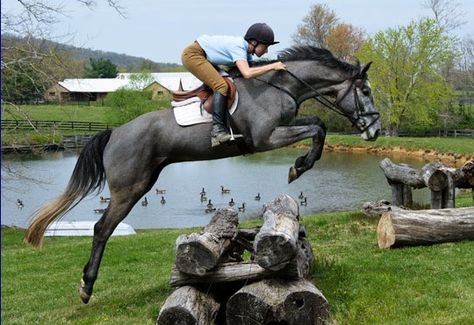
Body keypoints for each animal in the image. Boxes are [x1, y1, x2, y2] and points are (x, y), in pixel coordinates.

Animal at [25, 45, 382, 302]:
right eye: (365, 92)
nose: (375, 131)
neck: (280, 86)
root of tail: (114, 133)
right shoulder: (265, 139)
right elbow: (317, 129)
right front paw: (299, 167)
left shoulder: (282, 128)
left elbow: (318, 125)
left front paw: (299, 165)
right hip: (129, 188)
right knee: (102, 229)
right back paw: (86, 287)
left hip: (145, 182)